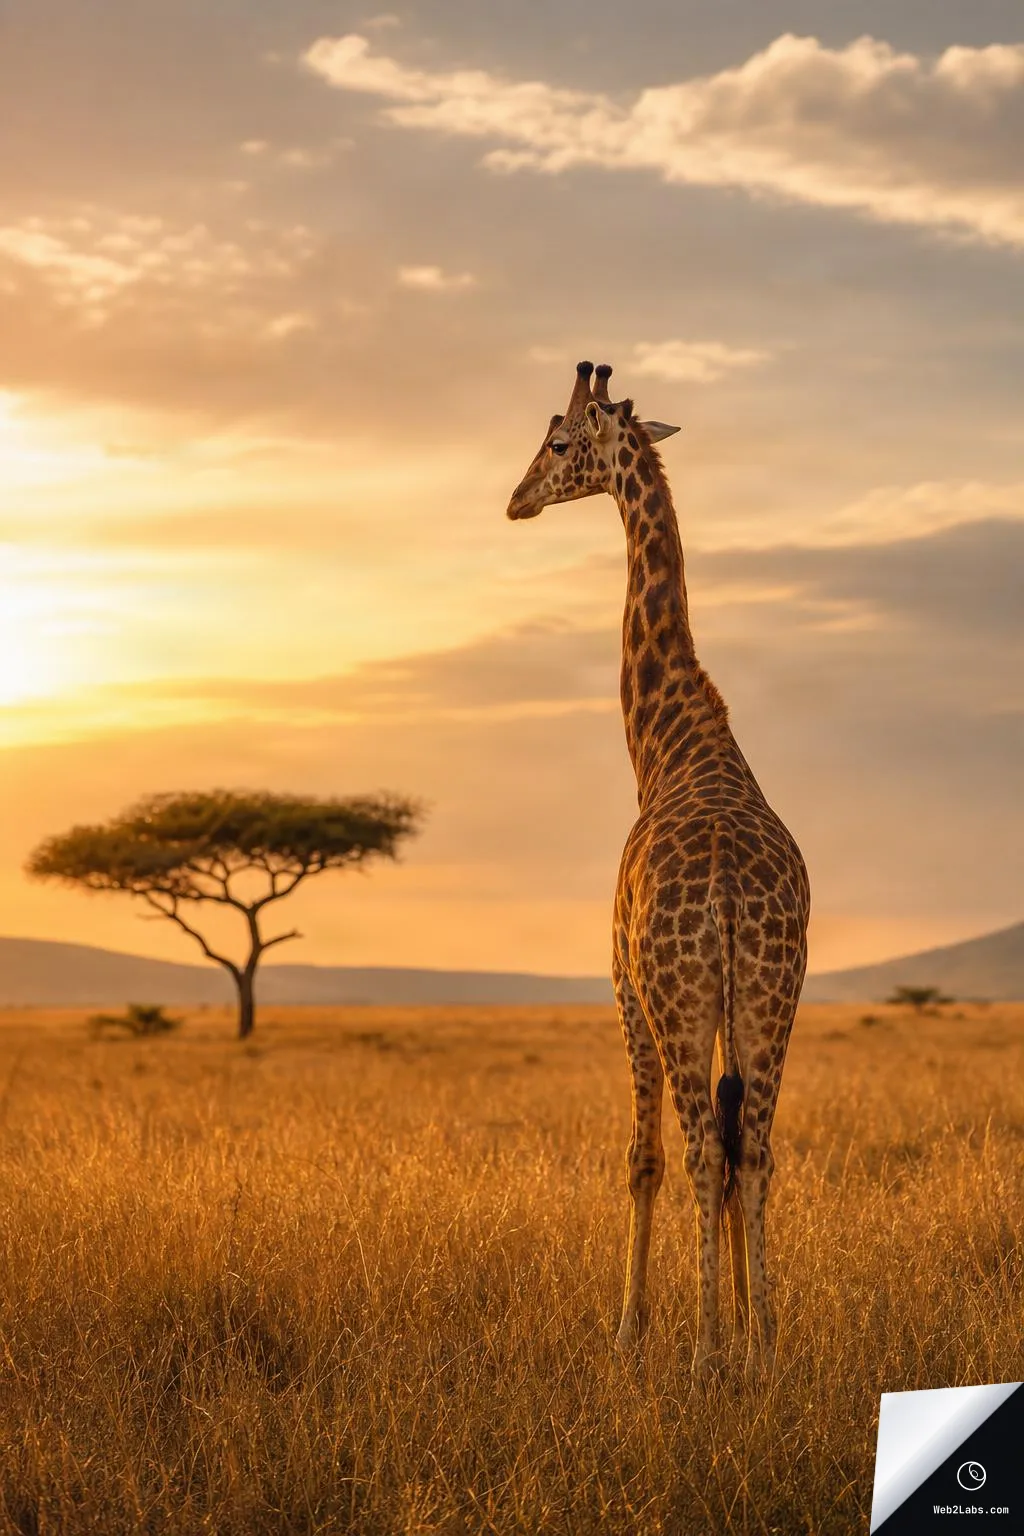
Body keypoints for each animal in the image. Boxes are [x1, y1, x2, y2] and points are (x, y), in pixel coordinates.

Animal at [505, 361, 810, 1375]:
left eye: (558, 441)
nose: (516, 499)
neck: (674, 743)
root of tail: (726, 896)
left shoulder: (624, 989)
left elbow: (640, 1160)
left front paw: (630, 1329)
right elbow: (731, 1143)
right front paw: (751, 1325)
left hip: (678, 999)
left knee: (702, 1153)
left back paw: (708, 1353)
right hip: (772, 995)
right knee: (753, 1149)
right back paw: (762, 1348)